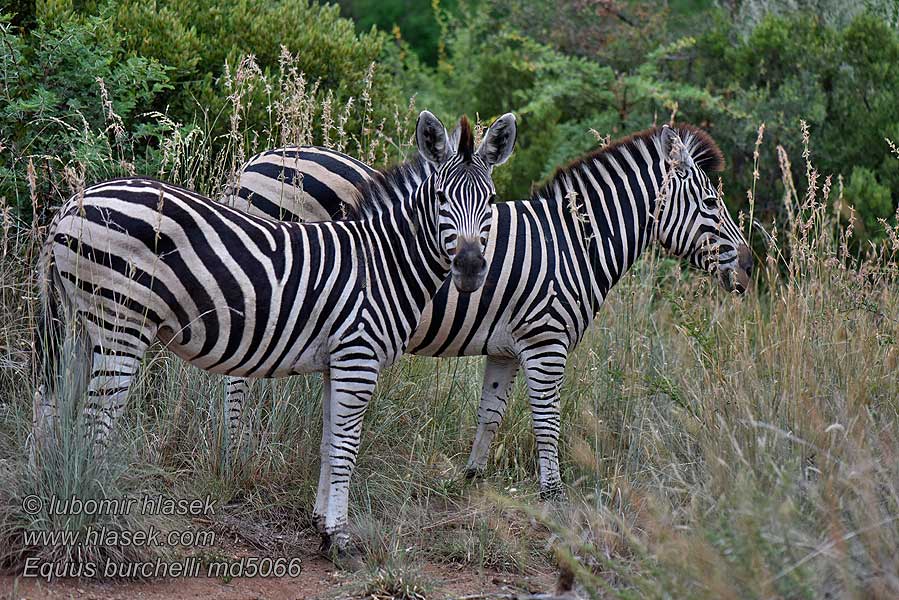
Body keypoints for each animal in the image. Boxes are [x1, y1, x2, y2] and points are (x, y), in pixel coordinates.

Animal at [33, 110, 520, 552]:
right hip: (121, 322)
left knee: (53, 404)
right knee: (96, 421)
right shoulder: (358, 356)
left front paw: (322, 525)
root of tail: (70, 207)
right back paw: (94, 514)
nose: (472, 268)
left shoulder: (336, 362)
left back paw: (52, 496)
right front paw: (340, 538)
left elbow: (329, 442)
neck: (383, 262)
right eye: (440, 196)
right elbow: (346, 447)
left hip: (78, 324)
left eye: (491, 199)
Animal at [218, 122, 752, 496]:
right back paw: (233, 454)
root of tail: (258, 159)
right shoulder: (546, 342)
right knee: (237, 377)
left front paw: (471, 477)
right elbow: (547, 419)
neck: (572, 245)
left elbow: (490, 413)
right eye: (711, 202)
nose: (749, 265)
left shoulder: (507, 348)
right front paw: (553, 494)